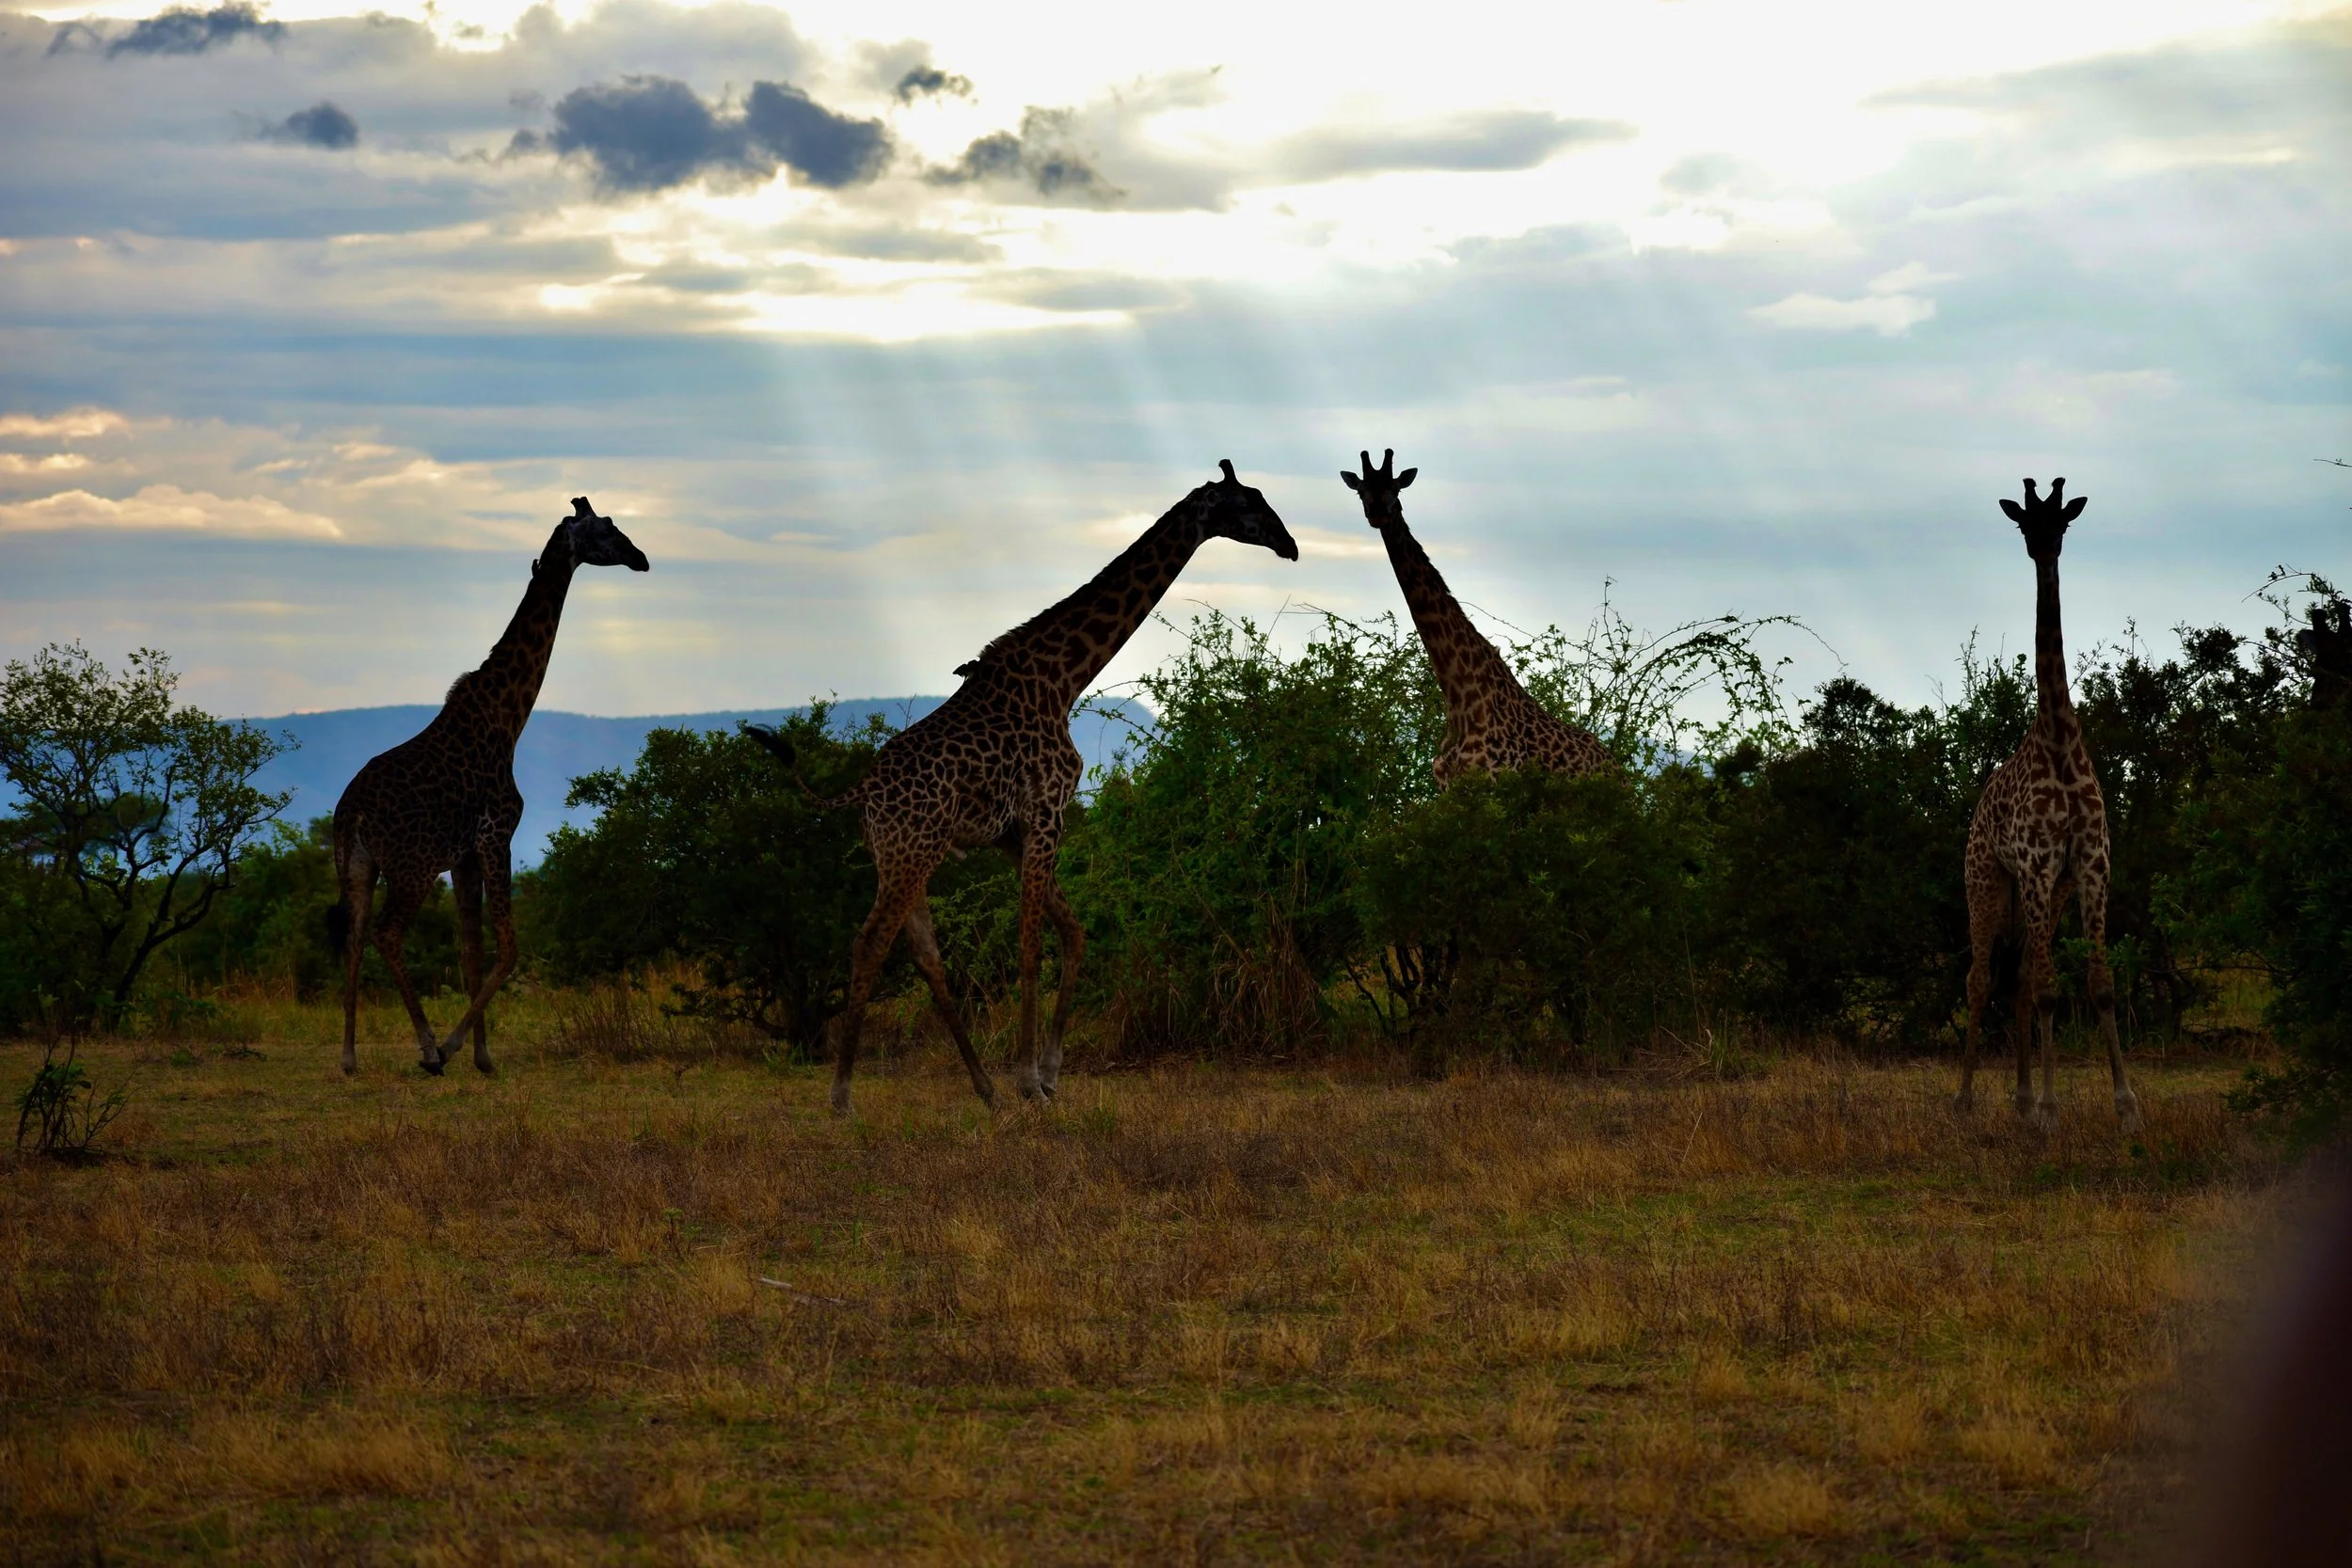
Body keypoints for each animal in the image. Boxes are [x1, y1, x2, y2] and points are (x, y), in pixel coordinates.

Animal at [329, 497, 649, 1076]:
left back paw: (348, 1057)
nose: (642, 558)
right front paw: (455, 1048)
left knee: (355, 937)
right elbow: (510, 948)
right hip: (412, 867)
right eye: (607, 530)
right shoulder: (496, 835)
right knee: (387, 933)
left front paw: (483, 1056)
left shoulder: (464, 855)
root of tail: (352, 813)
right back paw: (428, 1049)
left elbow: (471, 951)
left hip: (359, 865)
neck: (509, 716)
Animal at [749, 461, 1296, 1115]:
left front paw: (1051, 1074)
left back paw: (983, 1089)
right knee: (871, 942)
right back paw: (843, 1096)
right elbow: (1032, 944)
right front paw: (1031, 1079)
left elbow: (1073, 932)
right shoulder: (1047, 813)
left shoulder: (1011, 833)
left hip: (898, 854)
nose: (1291, 544)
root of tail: (862, 792)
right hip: (913, 850)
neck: (1065, 678)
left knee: (924, 954)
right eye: (1249, 502)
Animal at [1342, 449, 1611, 786]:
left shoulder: (1496, 780)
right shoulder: (1446, 786)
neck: (1459, 699)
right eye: (1361, 491)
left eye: (1396, 490)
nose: (1377, 513)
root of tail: (1619, 768)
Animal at [1956, 478, 2140, 1131]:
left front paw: (2125, 1106)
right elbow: (2048, 989)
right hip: (1987, 880)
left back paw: (2018, 1100)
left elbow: (2099, 983)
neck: (2060, 740)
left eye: (2062, 521)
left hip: (2044, 893)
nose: (2042, 548)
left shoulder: (2089, 864)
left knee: (2017, 980)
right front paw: (2052, 1111)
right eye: (2022, 522)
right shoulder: (2036, 864)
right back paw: (1964, 1102)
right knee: (1982, 979)